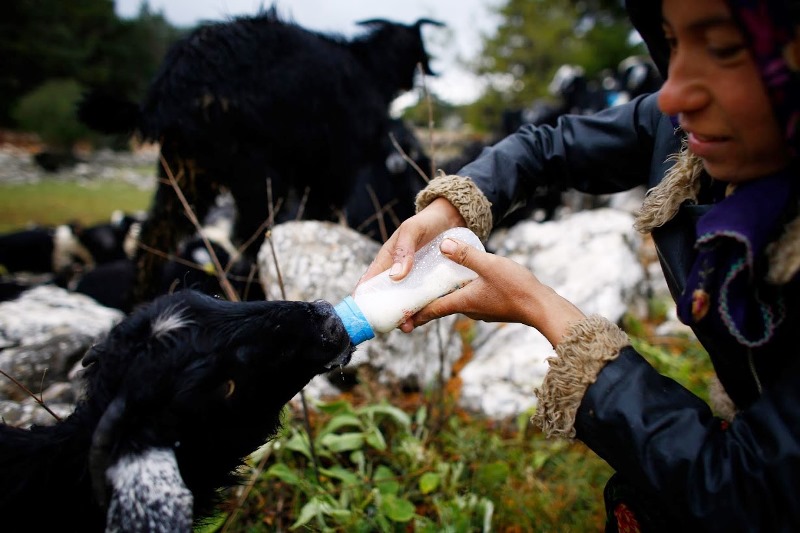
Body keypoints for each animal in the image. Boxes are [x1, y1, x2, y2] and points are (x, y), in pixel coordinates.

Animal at [79, 9, 444, 304]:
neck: (367, 67)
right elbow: (322, 210)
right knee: (250, 239)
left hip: (182, 170)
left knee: (155, 234)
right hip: (254, 171)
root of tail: (167, 95)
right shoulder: (336, 165)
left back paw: (136, 303)